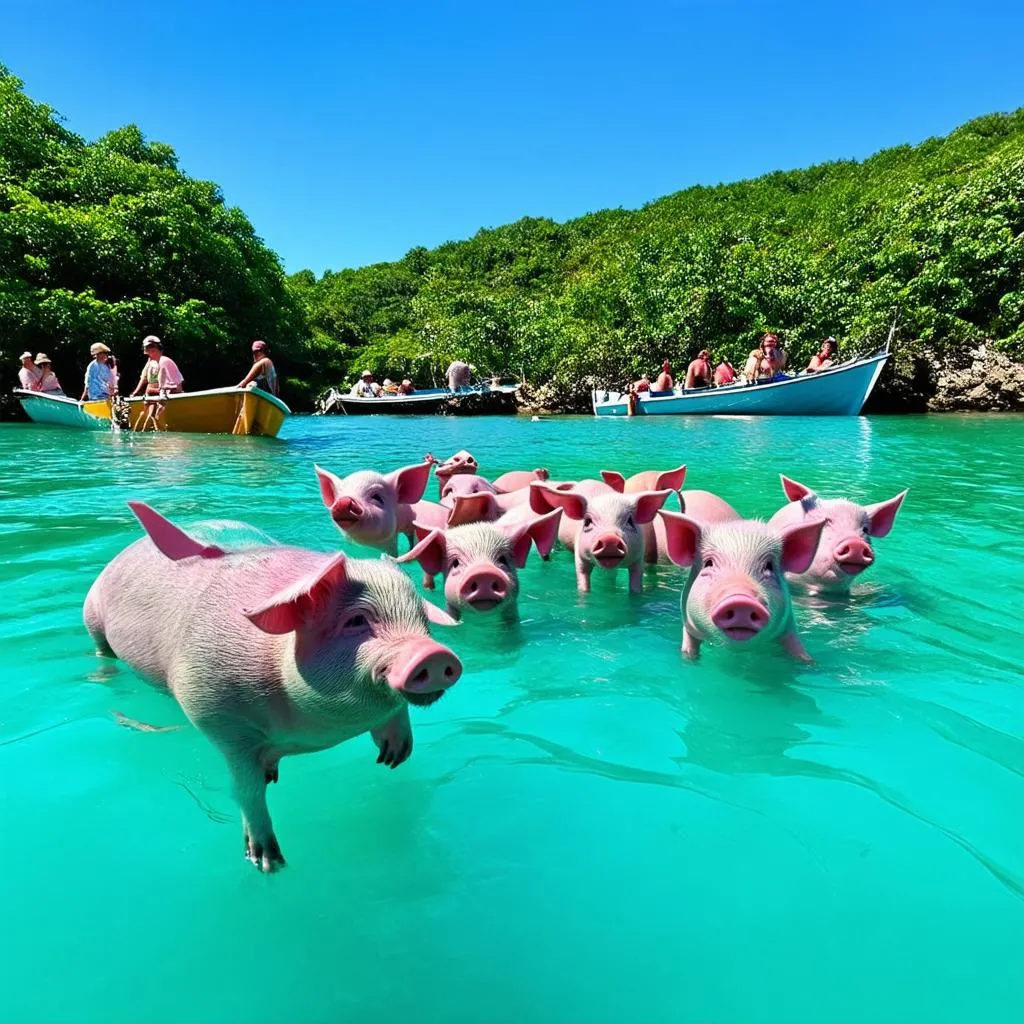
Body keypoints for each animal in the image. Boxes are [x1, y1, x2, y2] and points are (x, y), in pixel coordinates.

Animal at [82, 501, 460, 872]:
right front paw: (268, 863)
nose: (433, 655)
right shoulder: (211, 709)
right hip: (92, 617)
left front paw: (393, 759)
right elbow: (245, 790)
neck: (310, 732)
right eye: (355, 621)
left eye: (421, 619)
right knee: (102, 650)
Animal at [528, 483, 671, 598]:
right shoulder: (580, 556)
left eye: (630, 521)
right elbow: (583, 579)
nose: (610, 539)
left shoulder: (638, 558)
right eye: (587, 521)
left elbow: (635, 584)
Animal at [655, 512, 831, 663]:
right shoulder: (689, 627)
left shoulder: (788, 627)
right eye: (708, 563)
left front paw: (811, 664)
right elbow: (689, 649)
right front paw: (689, 659)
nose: (741, 601)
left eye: (769, 566)